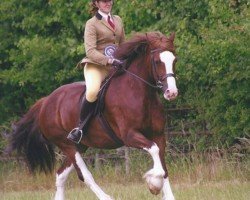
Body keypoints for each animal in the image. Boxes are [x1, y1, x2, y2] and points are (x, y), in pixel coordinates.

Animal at [6, 31, 178, 200]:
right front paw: (153, 184)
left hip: (80, 145)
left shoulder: (158, 135)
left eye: (174, 60)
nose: (172, 92)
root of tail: (45, 101)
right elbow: (154, 151)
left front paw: (165, 192)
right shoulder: (130, 136)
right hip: (67, 145)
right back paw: (106, 197)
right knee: (84, 176)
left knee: (61, 175)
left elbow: (163, 166)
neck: (139, 94)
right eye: (157, 61)